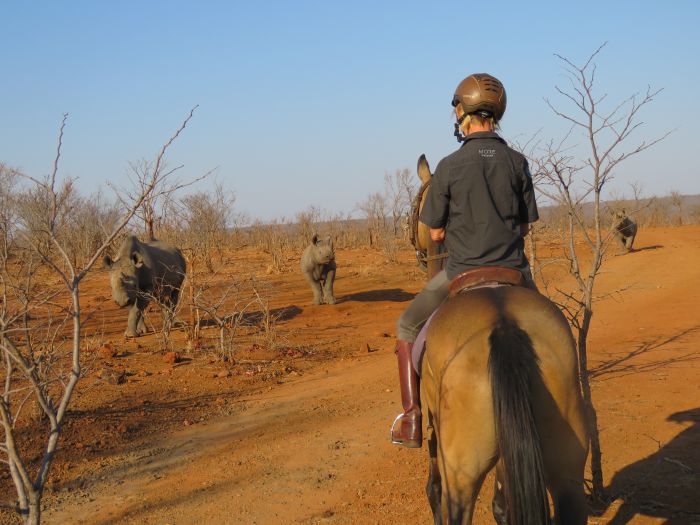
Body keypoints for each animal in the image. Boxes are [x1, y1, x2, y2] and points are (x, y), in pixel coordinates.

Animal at [410, 155, 592, 524]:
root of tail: (504, 325)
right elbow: (503, 504)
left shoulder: (434, 425)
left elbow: (432, 488)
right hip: (566, 463)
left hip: (461, 472)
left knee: (452, 503)